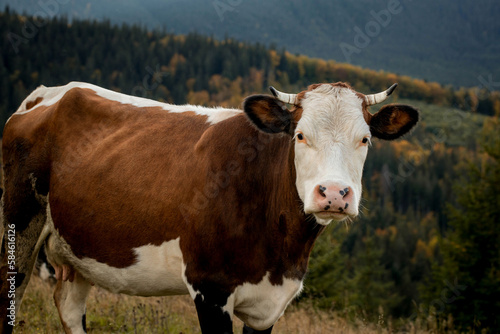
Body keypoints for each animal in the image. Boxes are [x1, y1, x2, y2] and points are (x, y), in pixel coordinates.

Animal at [0, 81, 418, 334]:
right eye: (300, 135)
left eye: (364, 139)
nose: (333, 193)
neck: (282, 251)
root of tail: (50, 92)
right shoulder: (210, 288)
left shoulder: (269, 304)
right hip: (20, 220)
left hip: (78, 247)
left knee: (69, 306)